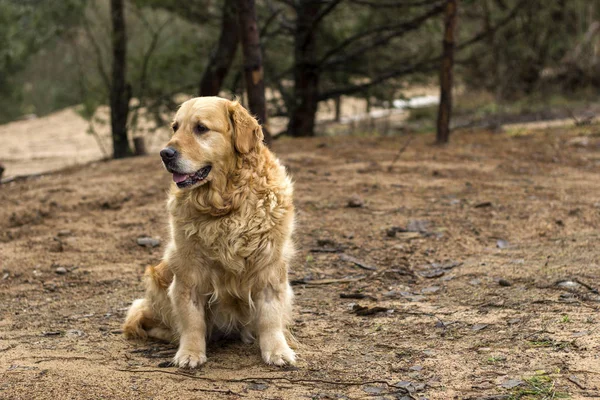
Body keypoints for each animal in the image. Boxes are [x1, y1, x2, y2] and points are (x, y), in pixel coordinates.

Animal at [123, 97, 296, 368]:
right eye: (175, 127)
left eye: (201, 128)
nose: (165, 153)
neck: (225, 205)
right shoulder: (188, 271)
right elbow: (192, 320)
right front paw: (190, 353)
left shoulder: (270, 266)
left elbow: (270, 317)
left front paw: (277, 350)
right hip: (155, 280)